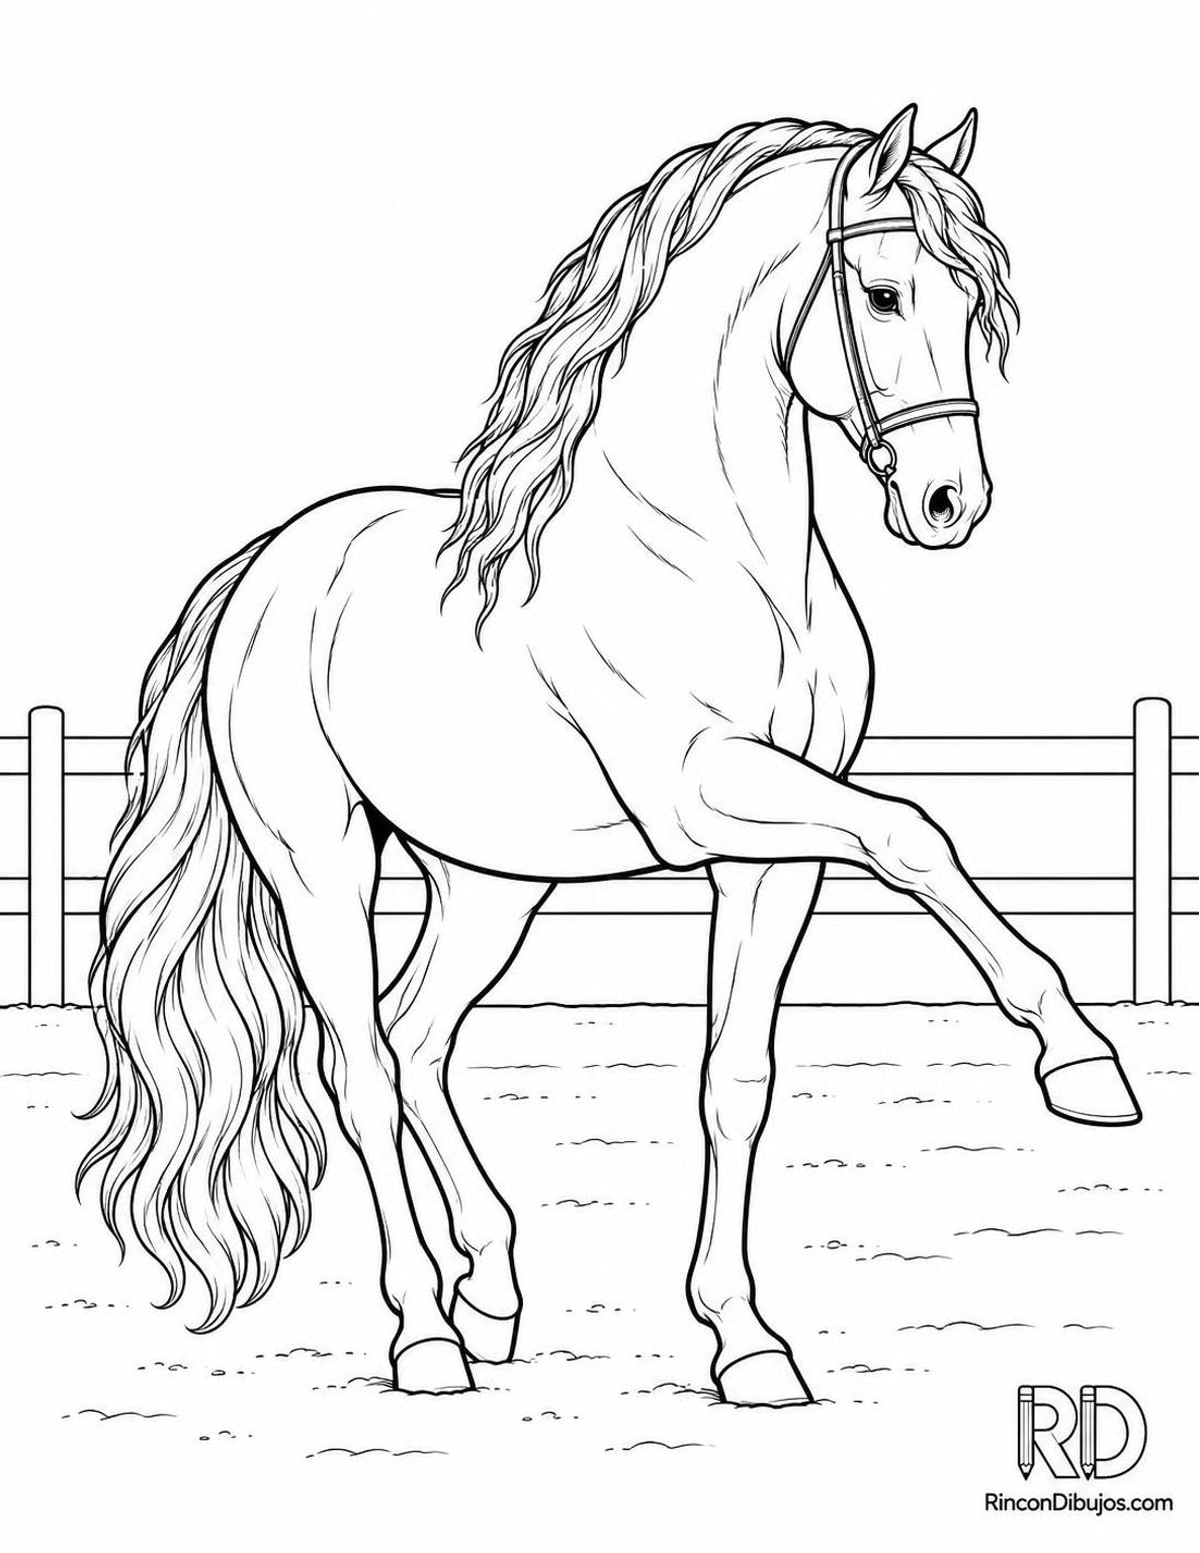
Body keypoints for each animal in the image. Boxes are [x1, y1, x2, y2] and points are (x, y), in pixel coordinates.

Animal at [80, 106, 1142, 1410]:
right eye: (885, 292)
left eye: (974, 301)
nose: (951, 501)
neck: (723, 555)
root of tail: (264, 571)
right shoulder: (708, 794)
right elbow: (914, 831)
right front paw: (1083, 1061)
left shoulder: (773, 855)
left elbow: (736, 1081)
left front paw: (749, 1343)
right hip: (319, 868)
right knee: (362, 1070)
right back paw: (426, 1336)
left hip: (490, 881)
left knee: (418, 1034)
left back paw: (490, 1294)